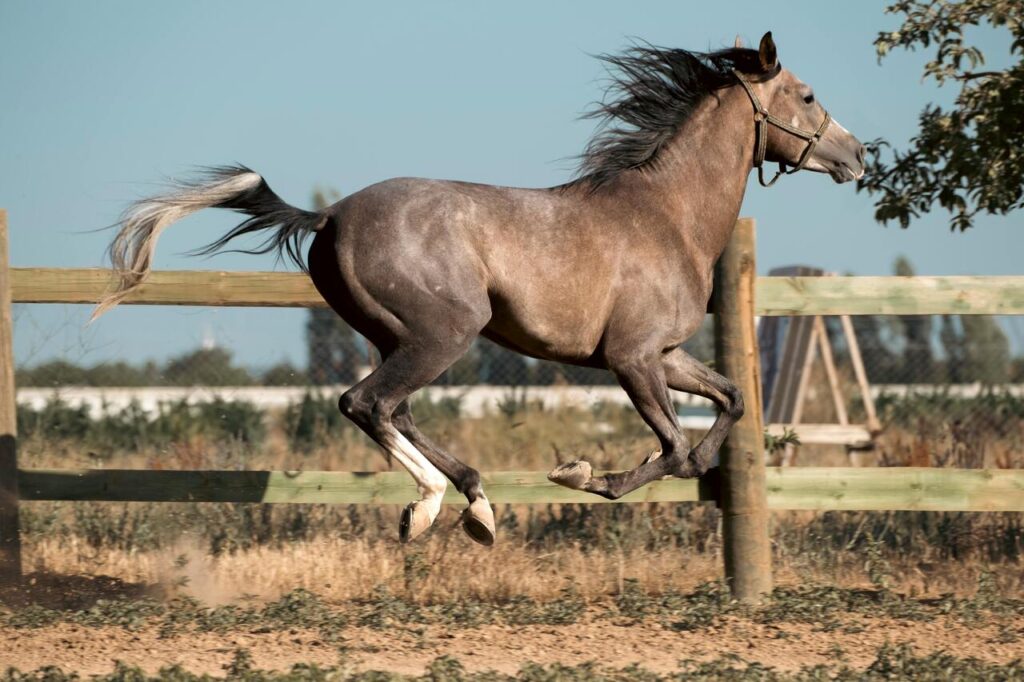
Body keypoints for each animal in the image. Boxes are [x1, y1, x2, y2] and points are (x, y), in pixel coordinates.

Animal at [94, 32, 865, 547]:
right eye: (807, 96)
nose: (858, 155)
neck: (667, 214)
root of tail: (331, 214)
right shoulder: (633, 358)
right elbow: (672, 449)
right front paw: (581, 473)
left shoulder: (666, 355)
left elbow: (729, 402)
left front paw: (674, 460)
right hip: (446, 333)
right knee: (367, 403)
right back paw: (432, 507)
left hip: (400, 337)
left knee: (395, 410)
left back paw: (476, 505)